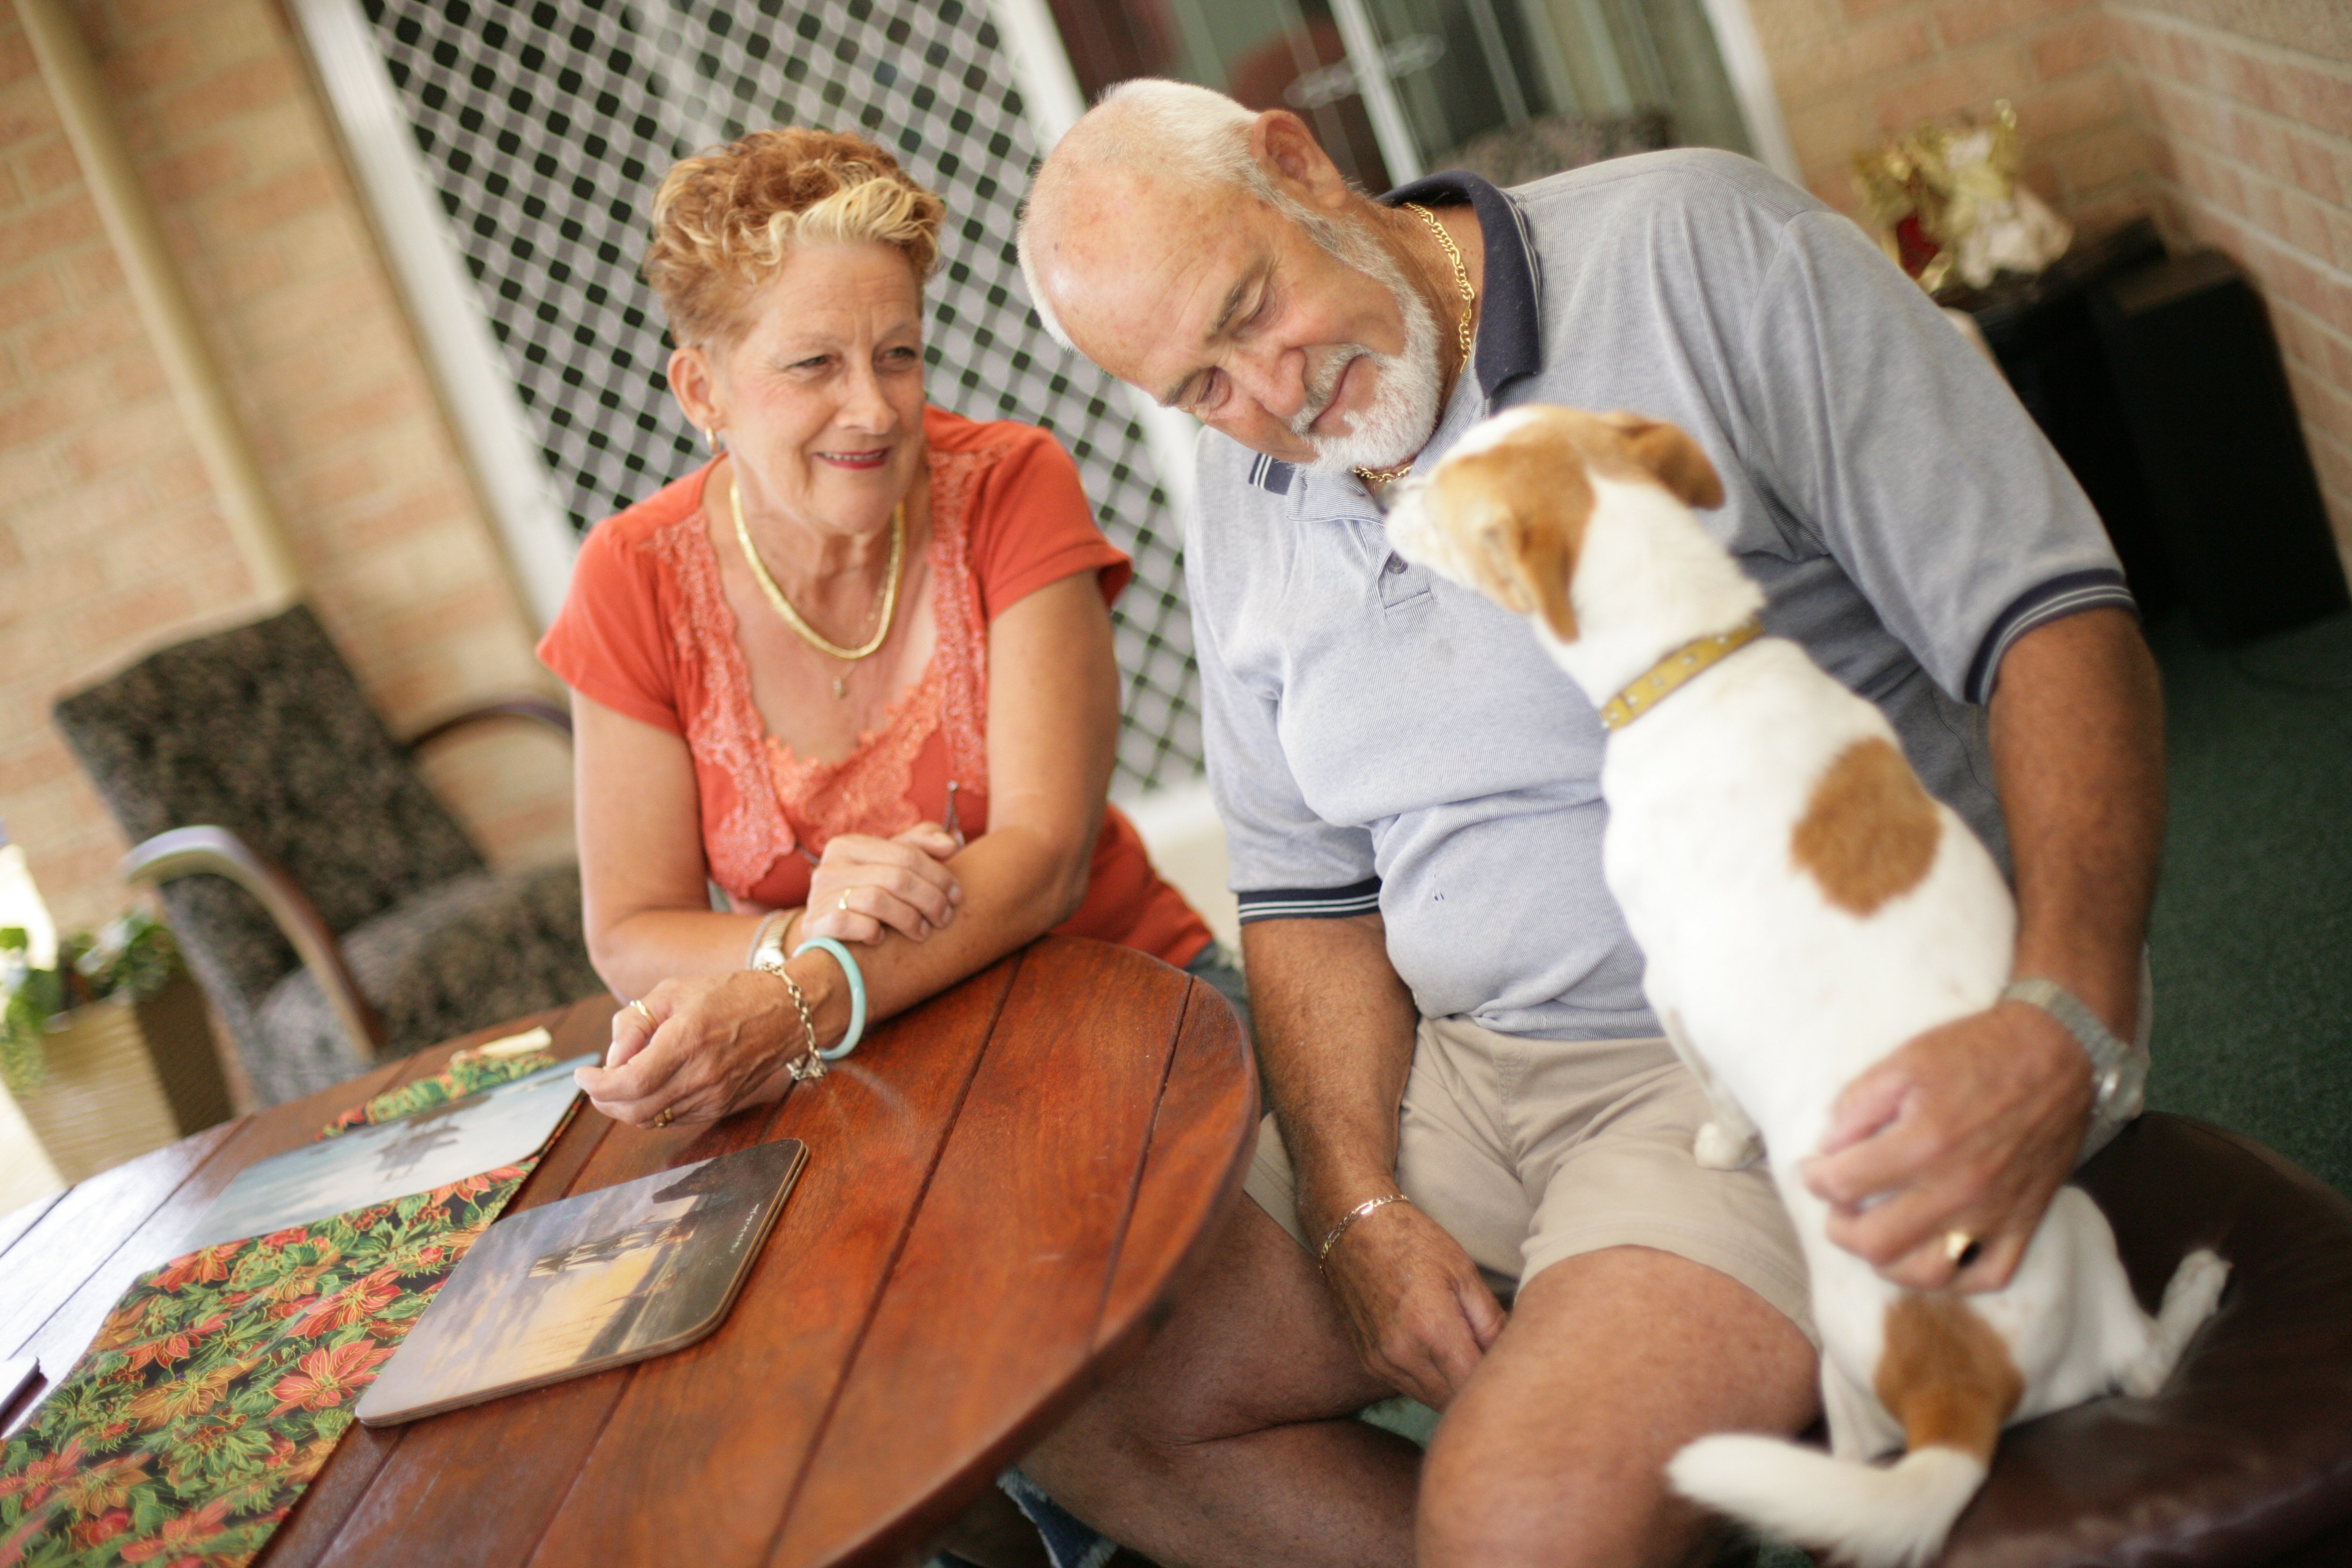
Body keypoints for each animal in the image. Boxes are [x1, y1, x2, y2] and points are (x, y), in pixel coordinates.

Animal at [1373, 409, 2220, 1568]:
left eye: (1452, 491)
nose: (1388, 495)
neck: (1692, 664)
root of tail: (1958, 1390)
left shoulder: (1669, 986)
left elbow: (1717, 1099)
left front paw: (1718, 1144)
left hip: (2024, 1256)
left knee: (2117, 1374)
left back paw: (2197, 1284)